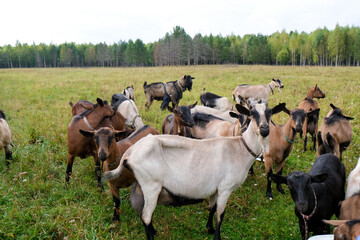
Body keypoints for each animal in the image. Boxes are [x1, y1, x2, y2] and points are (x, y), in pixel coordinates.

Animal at [102, 101, 286, 240]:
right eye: (252, 114)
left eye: (270, 113)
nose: (264, 129)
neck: (240, 148)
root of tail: (130, 152)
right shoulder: (225, 188)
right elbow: (220, 215)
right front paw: (217, 236)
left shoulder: (215, 188)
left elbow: (212, 209)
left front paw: (209, 229)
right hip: (151, 185)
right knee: (146, 216)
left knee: (145, 214)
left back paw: (154, 231)